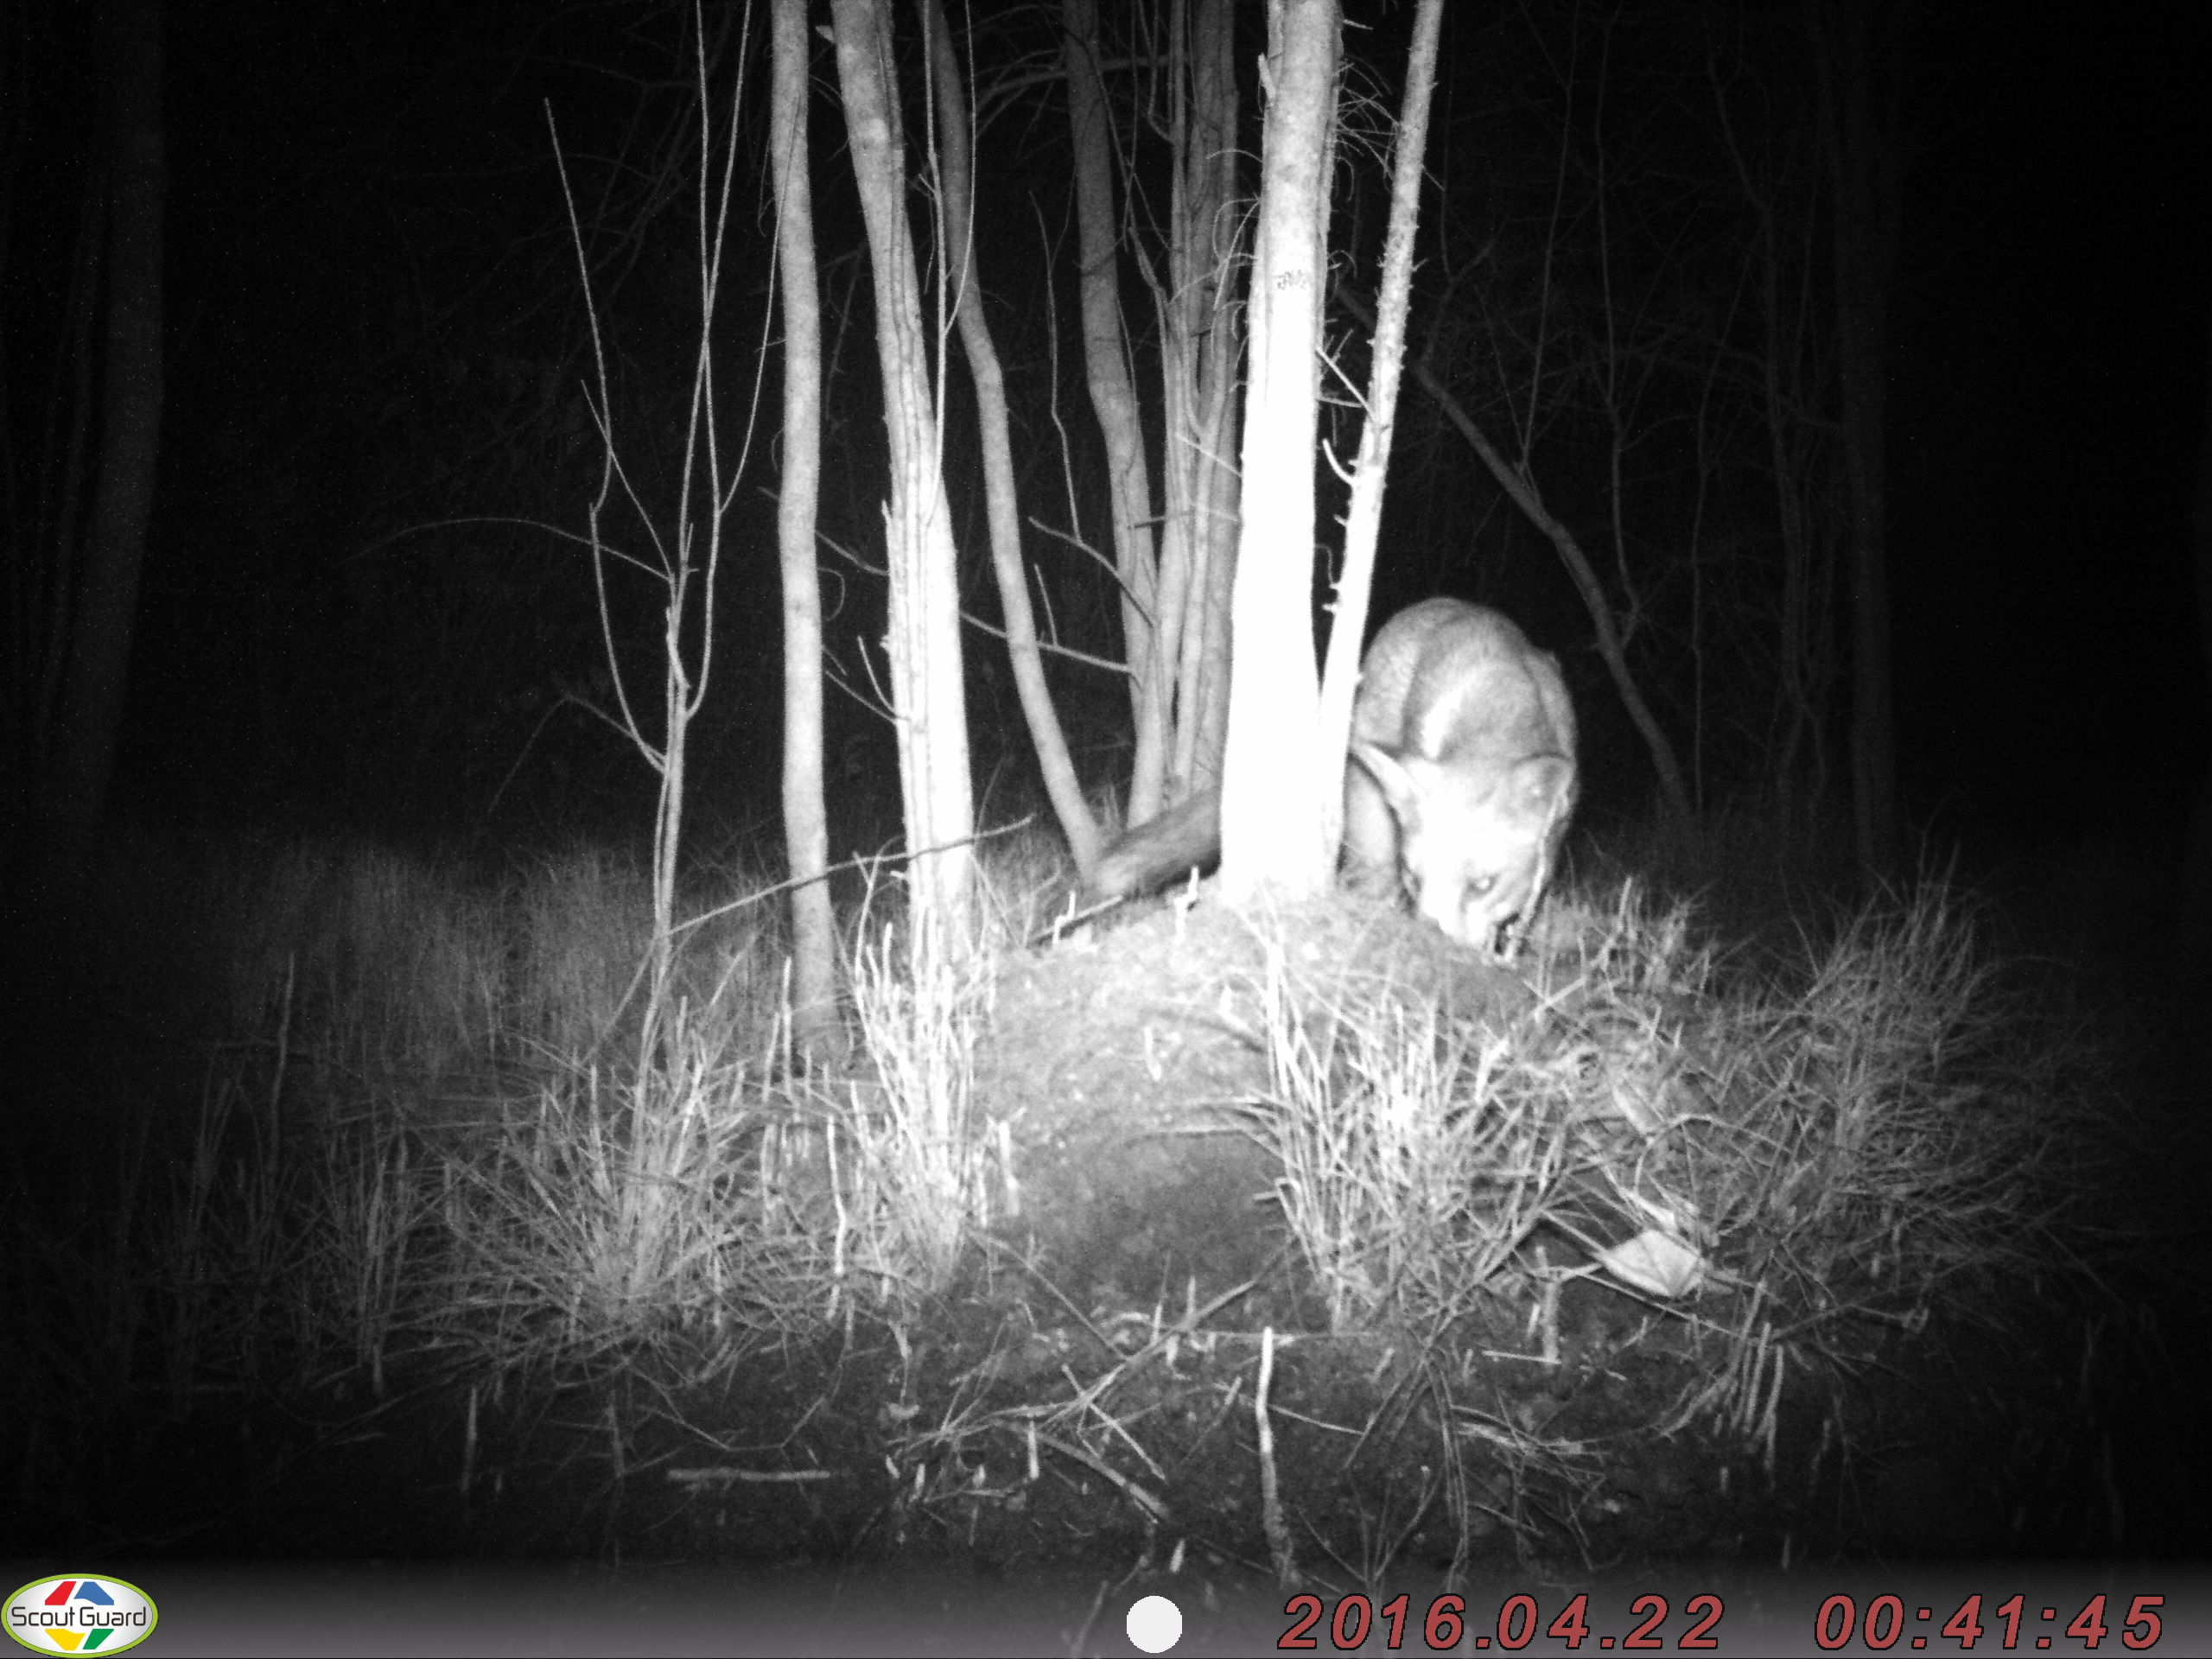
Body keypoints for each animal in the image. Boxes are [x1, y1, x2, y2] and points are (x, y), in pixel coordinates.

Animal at [1084, 601, 1574, 960]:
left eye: (1483, 884)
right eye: (1415, 879)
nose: (1433, 945)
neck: (1496, 704)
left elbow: (1525, 910)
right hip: (1373, 833)